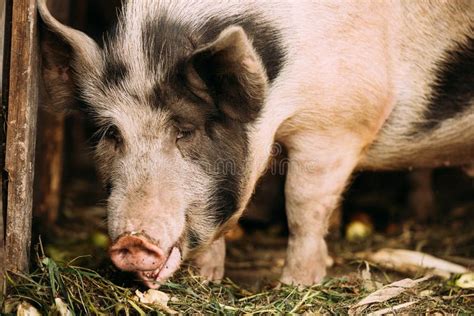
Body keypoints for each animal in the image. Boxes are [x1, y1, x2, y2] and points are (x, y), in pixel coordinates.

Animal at [38, 0, 474, 288]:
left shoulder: (338, 125)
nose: (132, 241)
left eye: (185, 130)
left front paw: (297, 285)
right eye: (112, 133)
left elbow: (302, 206)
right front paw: (206, 281)